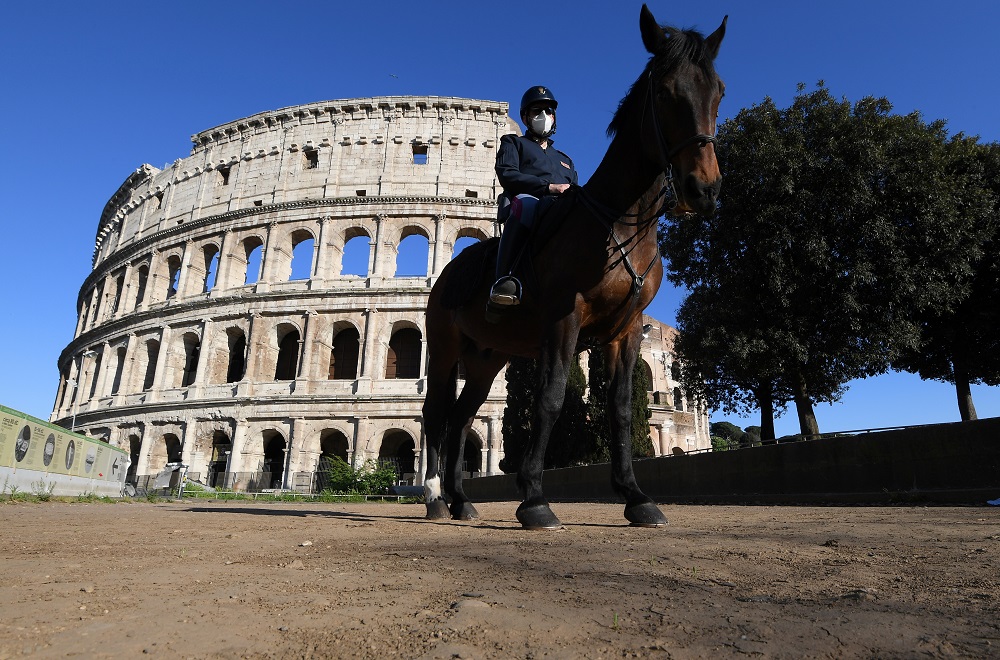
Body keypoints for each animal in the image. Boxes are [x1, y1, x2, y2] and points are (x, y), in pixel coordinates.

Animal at [420, 5, 728, 528]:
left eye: (719, 91)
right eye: (665, 92)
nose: (702, 189)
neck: (619, 222)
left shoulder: (626, 330)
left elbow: (620, 409)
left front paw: (635, 496)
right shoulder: (564, 317)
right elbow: (551, 397)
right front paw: (533, 499)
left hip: (486, 358)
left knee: (461, 418)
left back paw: (462, 501)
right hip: (444, 348)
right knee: (434, 415)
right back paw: (435, 497)